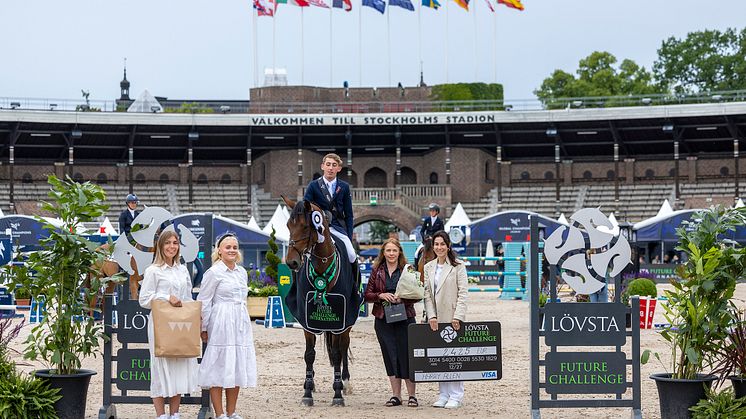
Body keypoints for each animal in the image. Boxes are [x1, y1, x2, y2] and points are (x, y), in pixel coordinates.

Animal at [280, 196, 362, 406]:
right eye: (288, 225)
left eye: (305, 226)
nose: (291, 262)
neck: (322, 266)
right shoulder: (307, 320)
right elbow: (309, 355)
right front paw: (307, 392)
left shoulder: (340, 319)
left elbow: (337, 353)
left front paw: (338, 394)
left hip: (348, 322)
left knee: (343, 347)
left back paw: (346, 382)